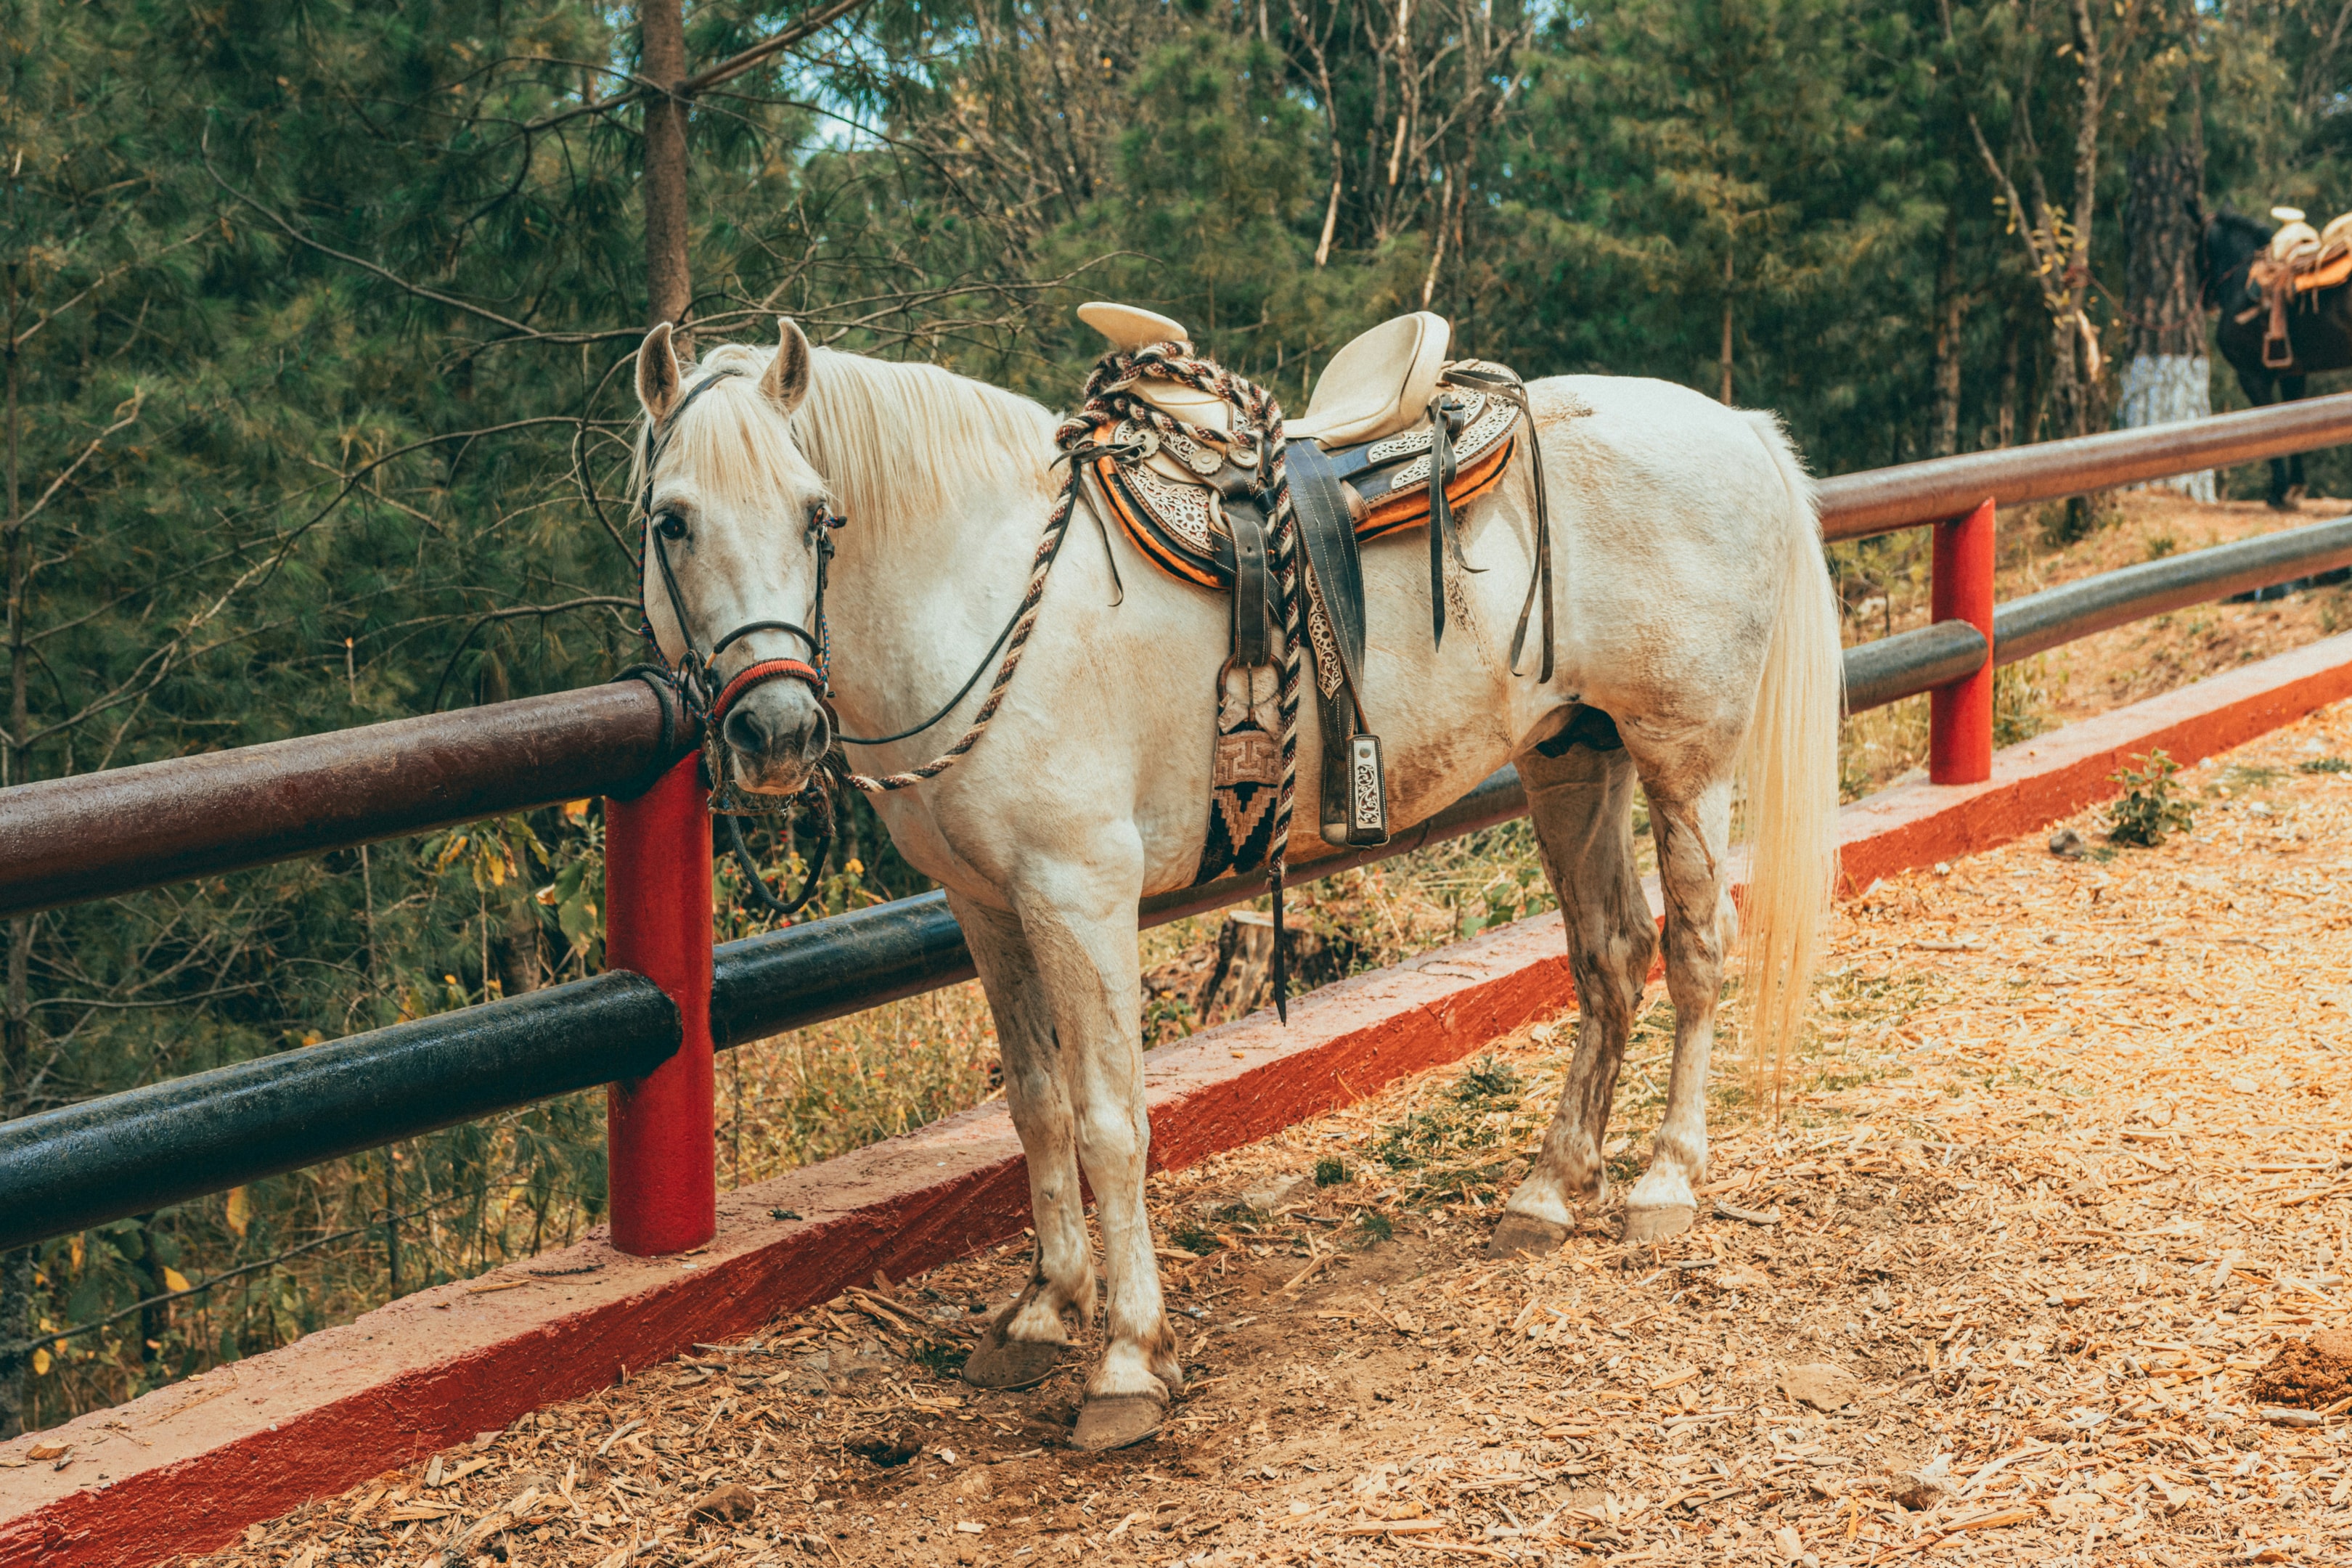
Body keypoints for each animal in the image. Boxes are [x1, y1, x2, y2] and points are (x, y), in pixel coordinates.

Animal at [626, 316, 1841, 1450]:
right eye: (670, 520)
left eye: (816, 513)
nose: (776, 732)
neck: (989, 585)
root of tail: (1735, 426)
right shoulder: (988, 908)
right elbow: (1036, 1109)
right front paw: (1042, 1310)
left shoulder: (1079, 895)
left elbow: (1110, 1122)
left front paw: (1127, 1360)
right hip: (1573, 755)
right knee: (1609, 956)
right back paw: (1550, 1188)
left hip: (1684, 760)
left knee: (1694, 952)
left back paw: (1666, 1180)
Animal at [2202, 207, 2352, 509]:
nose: (2205, 302)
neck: (2242, 279)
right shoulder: (2292, 373)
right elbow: (2292, 423)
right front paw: (2295, 488)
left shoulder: (2251, 376)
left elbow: (2267, 427)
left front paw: (2278, 493)